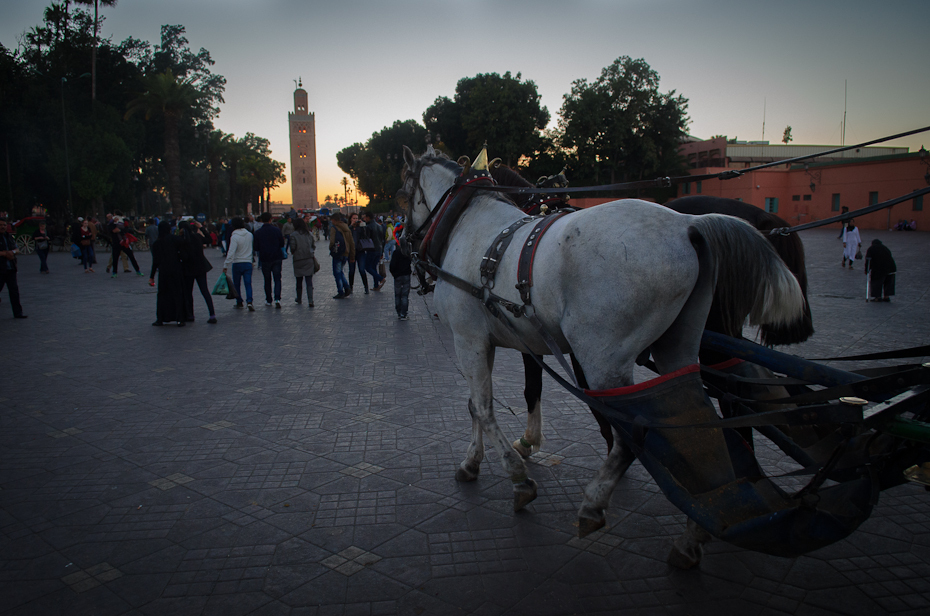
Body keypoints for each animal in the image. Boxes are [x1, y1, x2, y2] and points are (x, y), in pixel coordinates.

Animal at [396, 148, 800, 560]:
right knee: (697, 418)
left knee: (631, 434)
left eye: (402, 195)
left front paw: (518, 477)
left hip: (603, 360)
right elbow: (473, 405)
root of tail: (688, 225)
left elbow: (483, 407)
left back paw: (594, 503)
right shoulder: (486, 340)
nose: (403, 245)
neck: (467, 224)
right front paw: (471, 462)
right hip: (679, 346)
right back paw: (696, 530)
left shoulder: (469, 339)